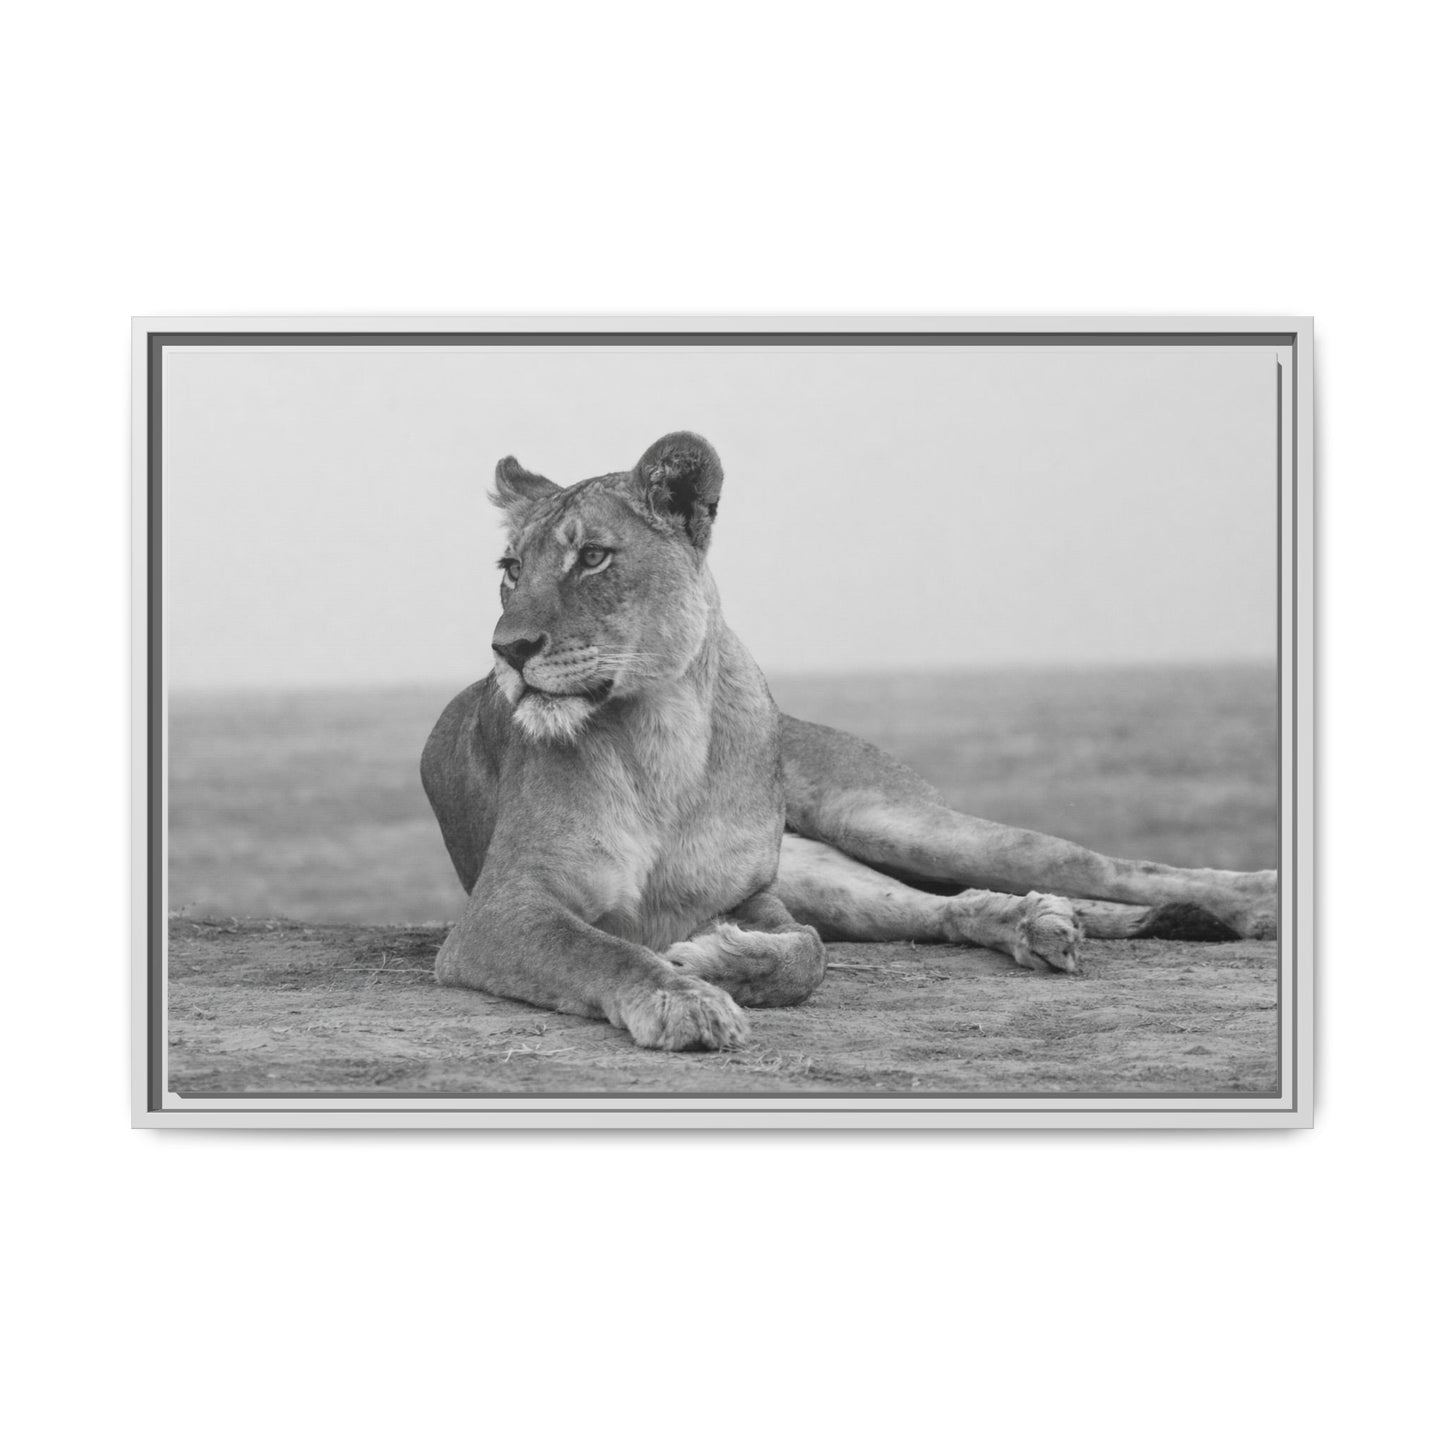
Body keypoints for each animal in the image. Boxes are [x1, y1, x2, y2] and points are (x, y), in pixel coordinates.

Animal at [421, 431, 1279, 1051]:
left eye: (593, 557)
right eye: (510, 567)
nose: (507, 649)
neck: (660, 736)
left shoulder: (751, 894)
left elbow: (807, 956)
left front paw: (709, 960)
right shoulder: (502, 910)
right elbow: (606, 948)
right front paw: (685, 997)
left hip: (884, 818)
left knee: (1096, 865)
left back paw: (1253, 897)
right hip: (832, 872)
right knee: (948, 906)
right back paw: (1036, 923)